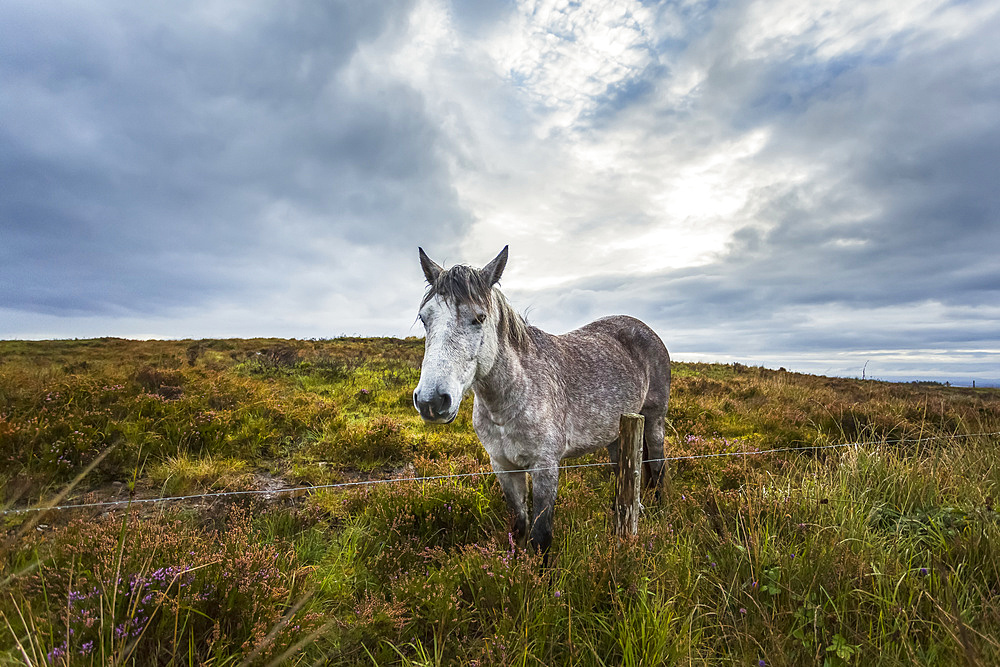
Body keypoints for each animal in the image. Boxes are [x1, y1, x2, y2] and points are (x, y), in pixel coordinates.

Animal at [414, 248, 672, 556]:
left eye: (479, 317)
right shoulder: (504, 466)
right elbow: (519, 526)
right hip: (617, 434)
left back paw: (657, 510)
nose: (431, 400)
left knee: (657, 466)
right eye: (424, 318)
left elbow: (541, 536)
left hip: (654, 420)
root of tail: (645, 329)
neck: (508, 402)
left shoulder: (545, 466)